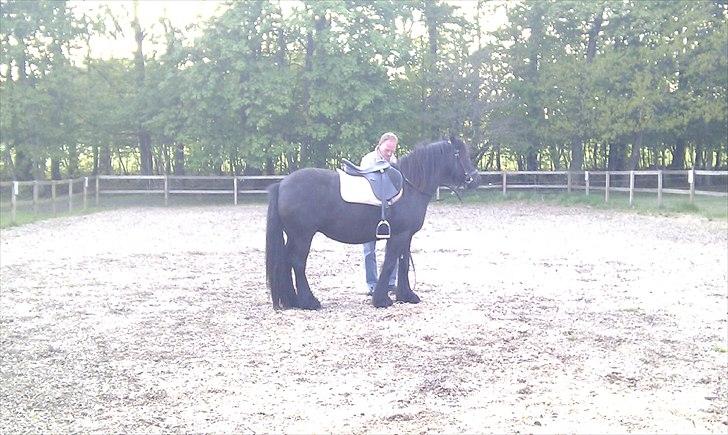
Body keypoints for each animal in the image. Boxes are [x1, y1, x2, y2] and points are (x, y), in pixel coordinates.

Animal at [265, 136, 481, 309]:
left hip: (293, 236)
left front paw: (407, 295)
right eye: (458, 154)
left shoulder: (406, 236)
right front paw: (382, 300)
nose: (475, 179)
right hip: (303, 236)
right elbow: (390, 263)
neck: (410, 185)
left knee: (285, 261)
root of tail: (282, 184)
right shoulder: (399, 235)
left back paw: (291, 300)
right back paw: (309, 302)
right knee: (297, 262)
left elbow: (403, 263)